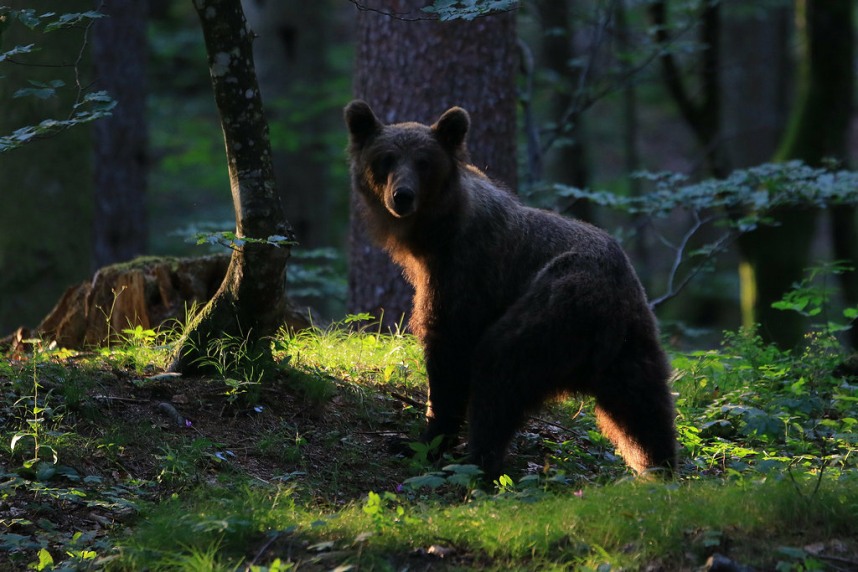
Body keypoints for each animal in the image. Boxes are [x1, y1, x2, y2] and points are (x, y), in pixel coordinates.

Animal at [342, 100, 676, 480]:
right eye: (386, 159)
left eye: (423, 162)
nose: (402, 196)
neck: (433, 236)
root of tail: (610, 309)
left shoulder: (465, 273)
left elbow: (448, 351)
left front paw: (421, 442)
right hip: (632, 341)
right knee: (645, 406)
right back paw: (658, 466)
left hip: (552, 308)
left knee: (499, 370)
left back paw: (476, 461)